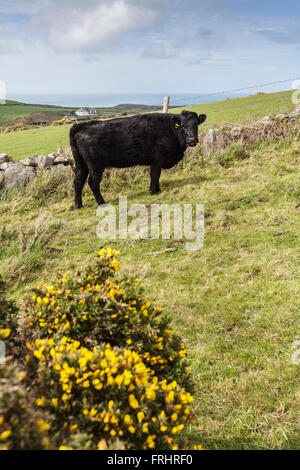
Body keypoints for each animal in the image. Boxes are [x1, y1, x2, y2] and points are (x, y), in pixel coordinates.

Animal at [70, 110, 206, 207]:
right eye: (182, 126)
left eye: (196, 126)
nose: (192, 140)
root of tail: (81, 125)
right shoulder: (157, 159)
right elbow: (155, 175)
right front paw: (154, 192)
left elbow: (156, 176)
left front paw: (157, 190)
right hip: (96, 165)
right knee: (93, 182)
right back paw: (102, 203)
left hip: (82, 164)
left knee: (78, 181)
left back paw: (78, 205)